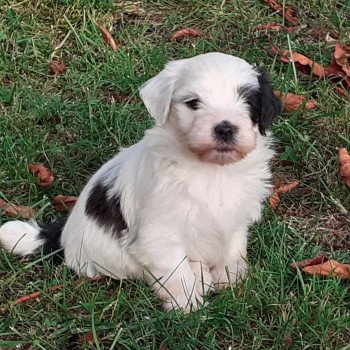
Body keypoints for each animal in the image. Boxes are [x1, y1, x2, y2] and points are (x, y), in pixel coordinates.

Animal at [0, 52, 282, 312]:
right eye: (193, 103)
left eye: (248, 103)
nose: (225, 128)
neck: (211, 169)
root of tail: (61, 235)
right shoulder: (159, 232)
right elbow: (176, 269)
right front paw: (188, 304)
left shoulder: (236, 215)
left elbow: (234, 246)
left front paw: (230, 278)